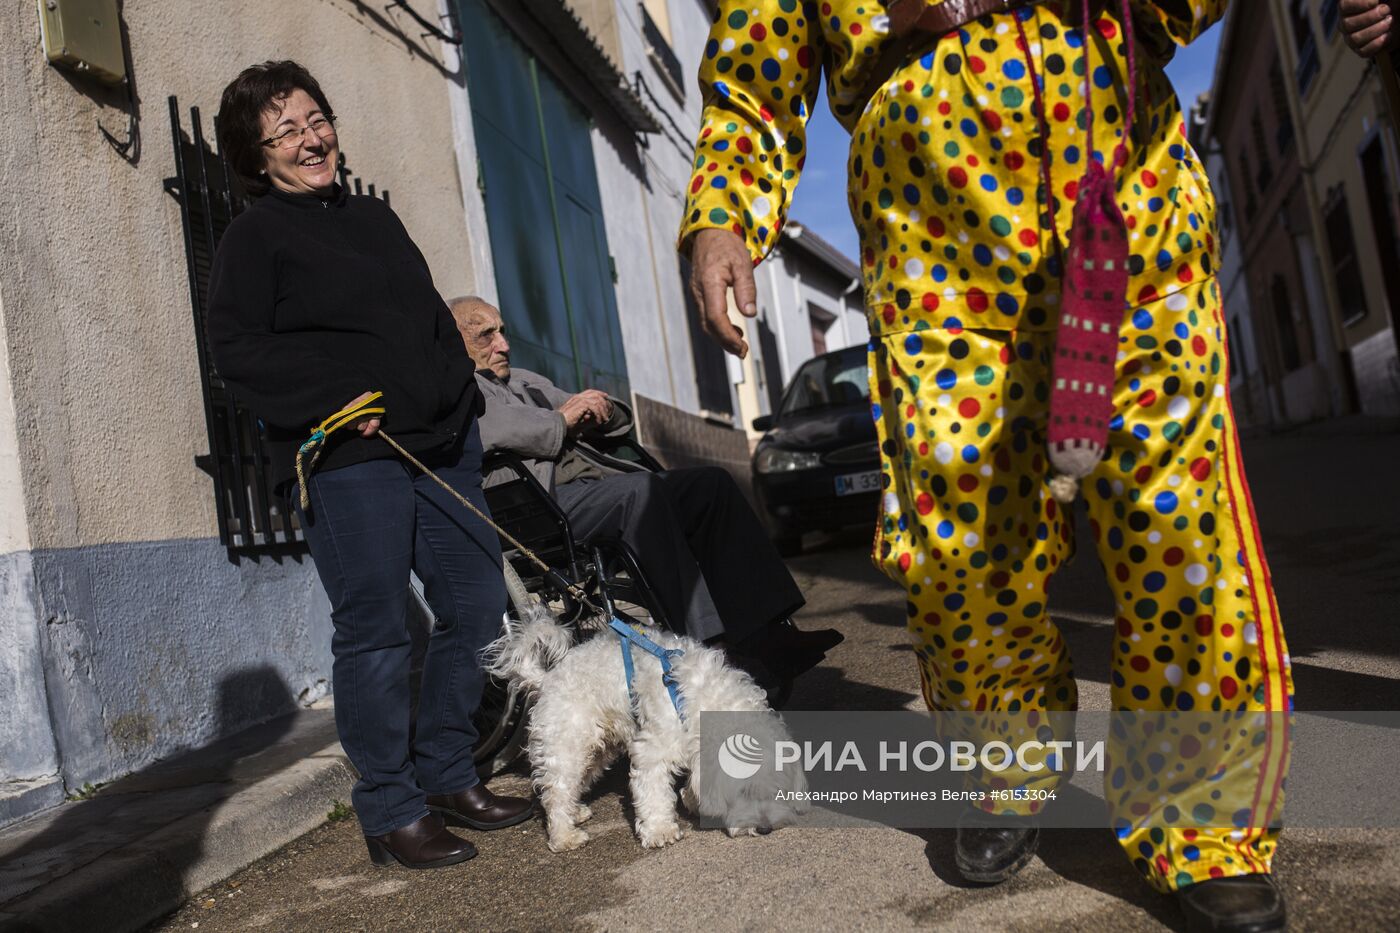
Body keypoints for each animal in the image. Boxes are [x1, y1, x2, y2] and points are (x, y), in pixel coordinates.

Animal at [484, 602, 806, 851]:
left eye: (778, 790)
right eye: (742, 792)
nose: (764, 828)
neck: (706, 699)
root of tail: (546, 679)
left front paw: (692, 799)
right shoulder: (653, 749)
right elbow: (653, 792)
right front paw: (660, 829)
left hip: (597, 749)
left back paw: (575, 812)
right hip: (567, 745)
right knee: (556, 792)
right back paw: (564, 835)